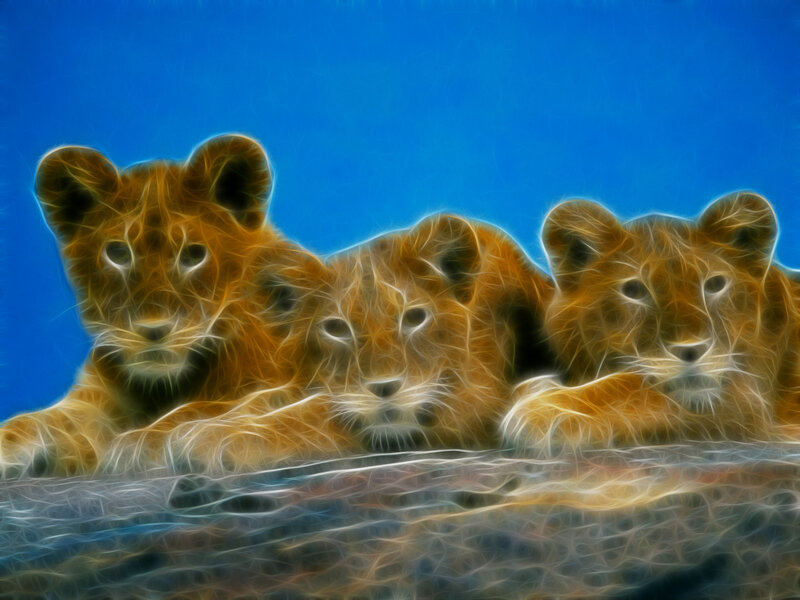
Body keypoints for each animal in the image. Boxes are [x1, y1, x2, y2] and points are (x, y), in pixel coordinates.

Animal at [0, 134, 322, 477]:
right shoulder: (93, 398)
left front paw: (146, 439)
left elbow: (208, 407)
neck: (165, 386)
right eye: (118, 253)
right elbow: (43, 418)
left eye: (194, 255)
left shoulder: (288, 380)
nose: (153, 330)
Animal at [110, 214, 556, 472]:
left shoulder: (472, 402)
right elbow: (240, 402)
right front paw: (149, 437)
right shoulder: (303, 381)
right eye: (337, 328)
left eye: (414, 318)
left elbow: (318, 414)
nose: (384, 388)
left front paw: (219, 437)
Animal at [502, 191, 800, 455]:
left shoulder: (747, 400)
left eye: (715, 284)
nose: (692, 349)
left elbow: (635, 388)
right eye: (634, 290)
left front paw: (546, 409)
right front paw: (539, 389)